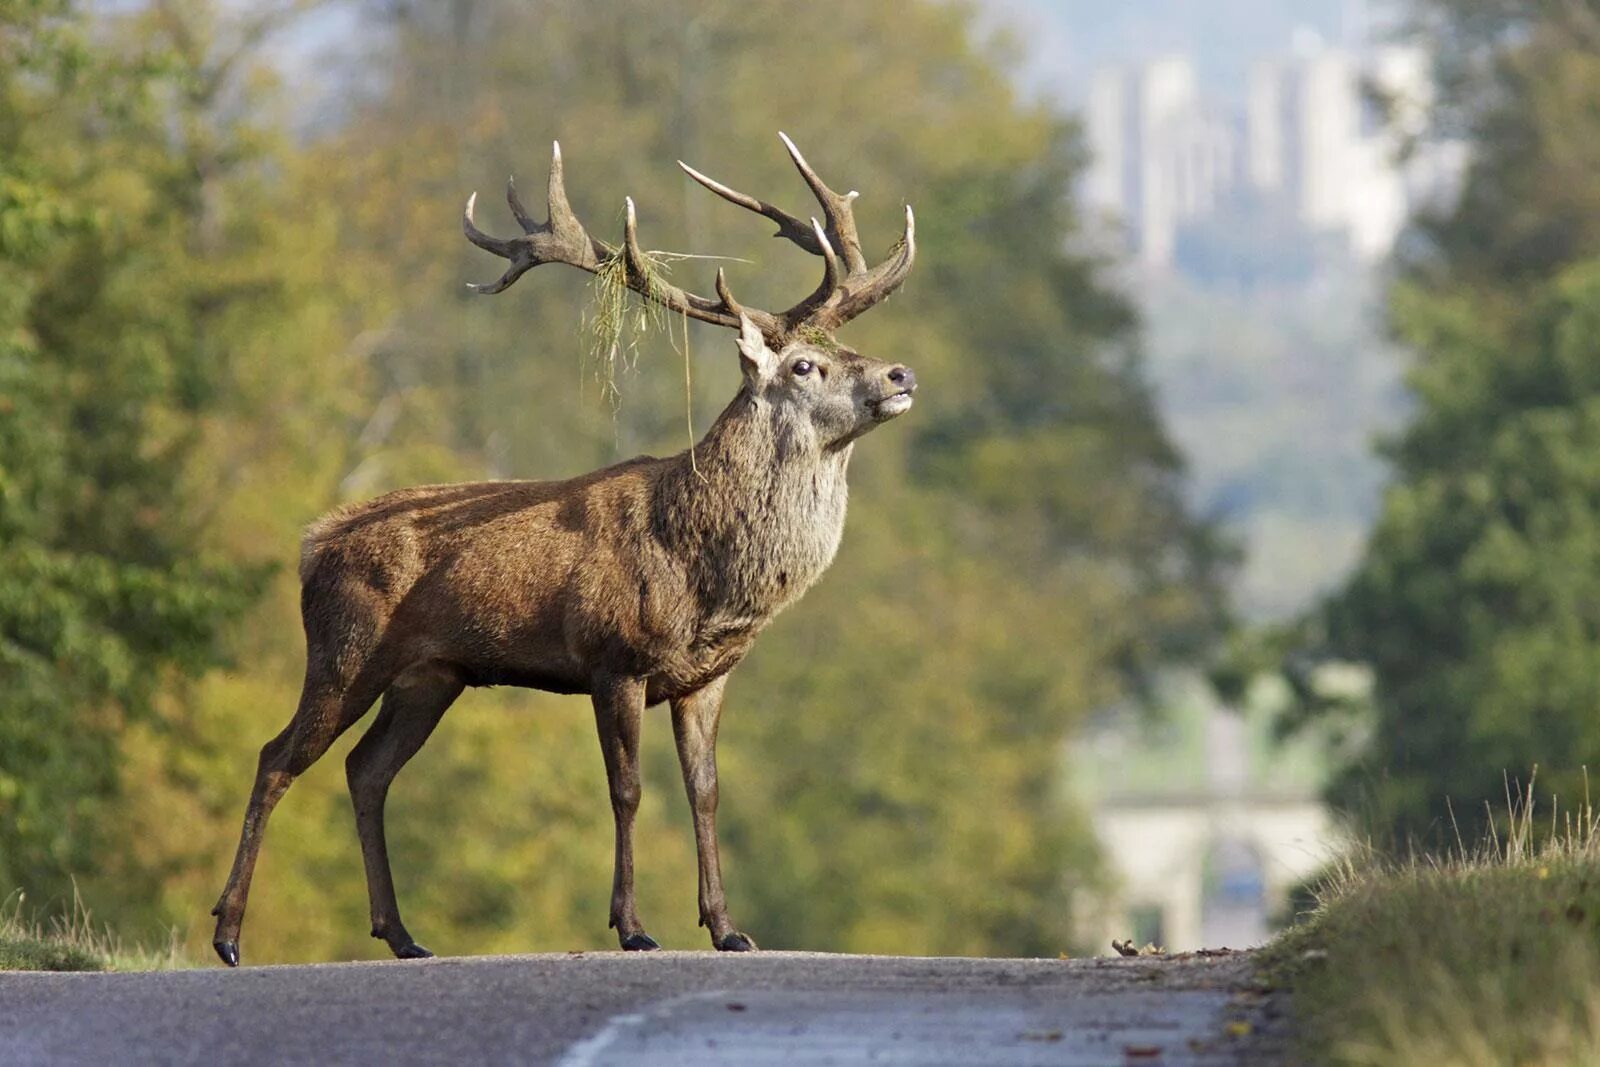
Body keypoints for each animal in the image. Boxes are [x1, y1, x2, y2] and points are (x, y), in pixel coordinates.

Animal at [209, 133, 915, 966]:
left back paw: (404, 935)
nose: (900, 372)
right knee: (275, 756)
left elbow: (706, 791)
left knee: (366, 769)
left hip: (431, 675)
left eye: (845, 344)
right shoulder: (613, 656)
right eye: (806, 365)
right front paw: (634, 926)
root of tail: (312, 542)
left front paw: (727, 927)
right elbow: (628, 789)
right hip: (344, 650)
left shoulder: (707, 676)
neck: (703, 570)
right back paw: (228, 933)